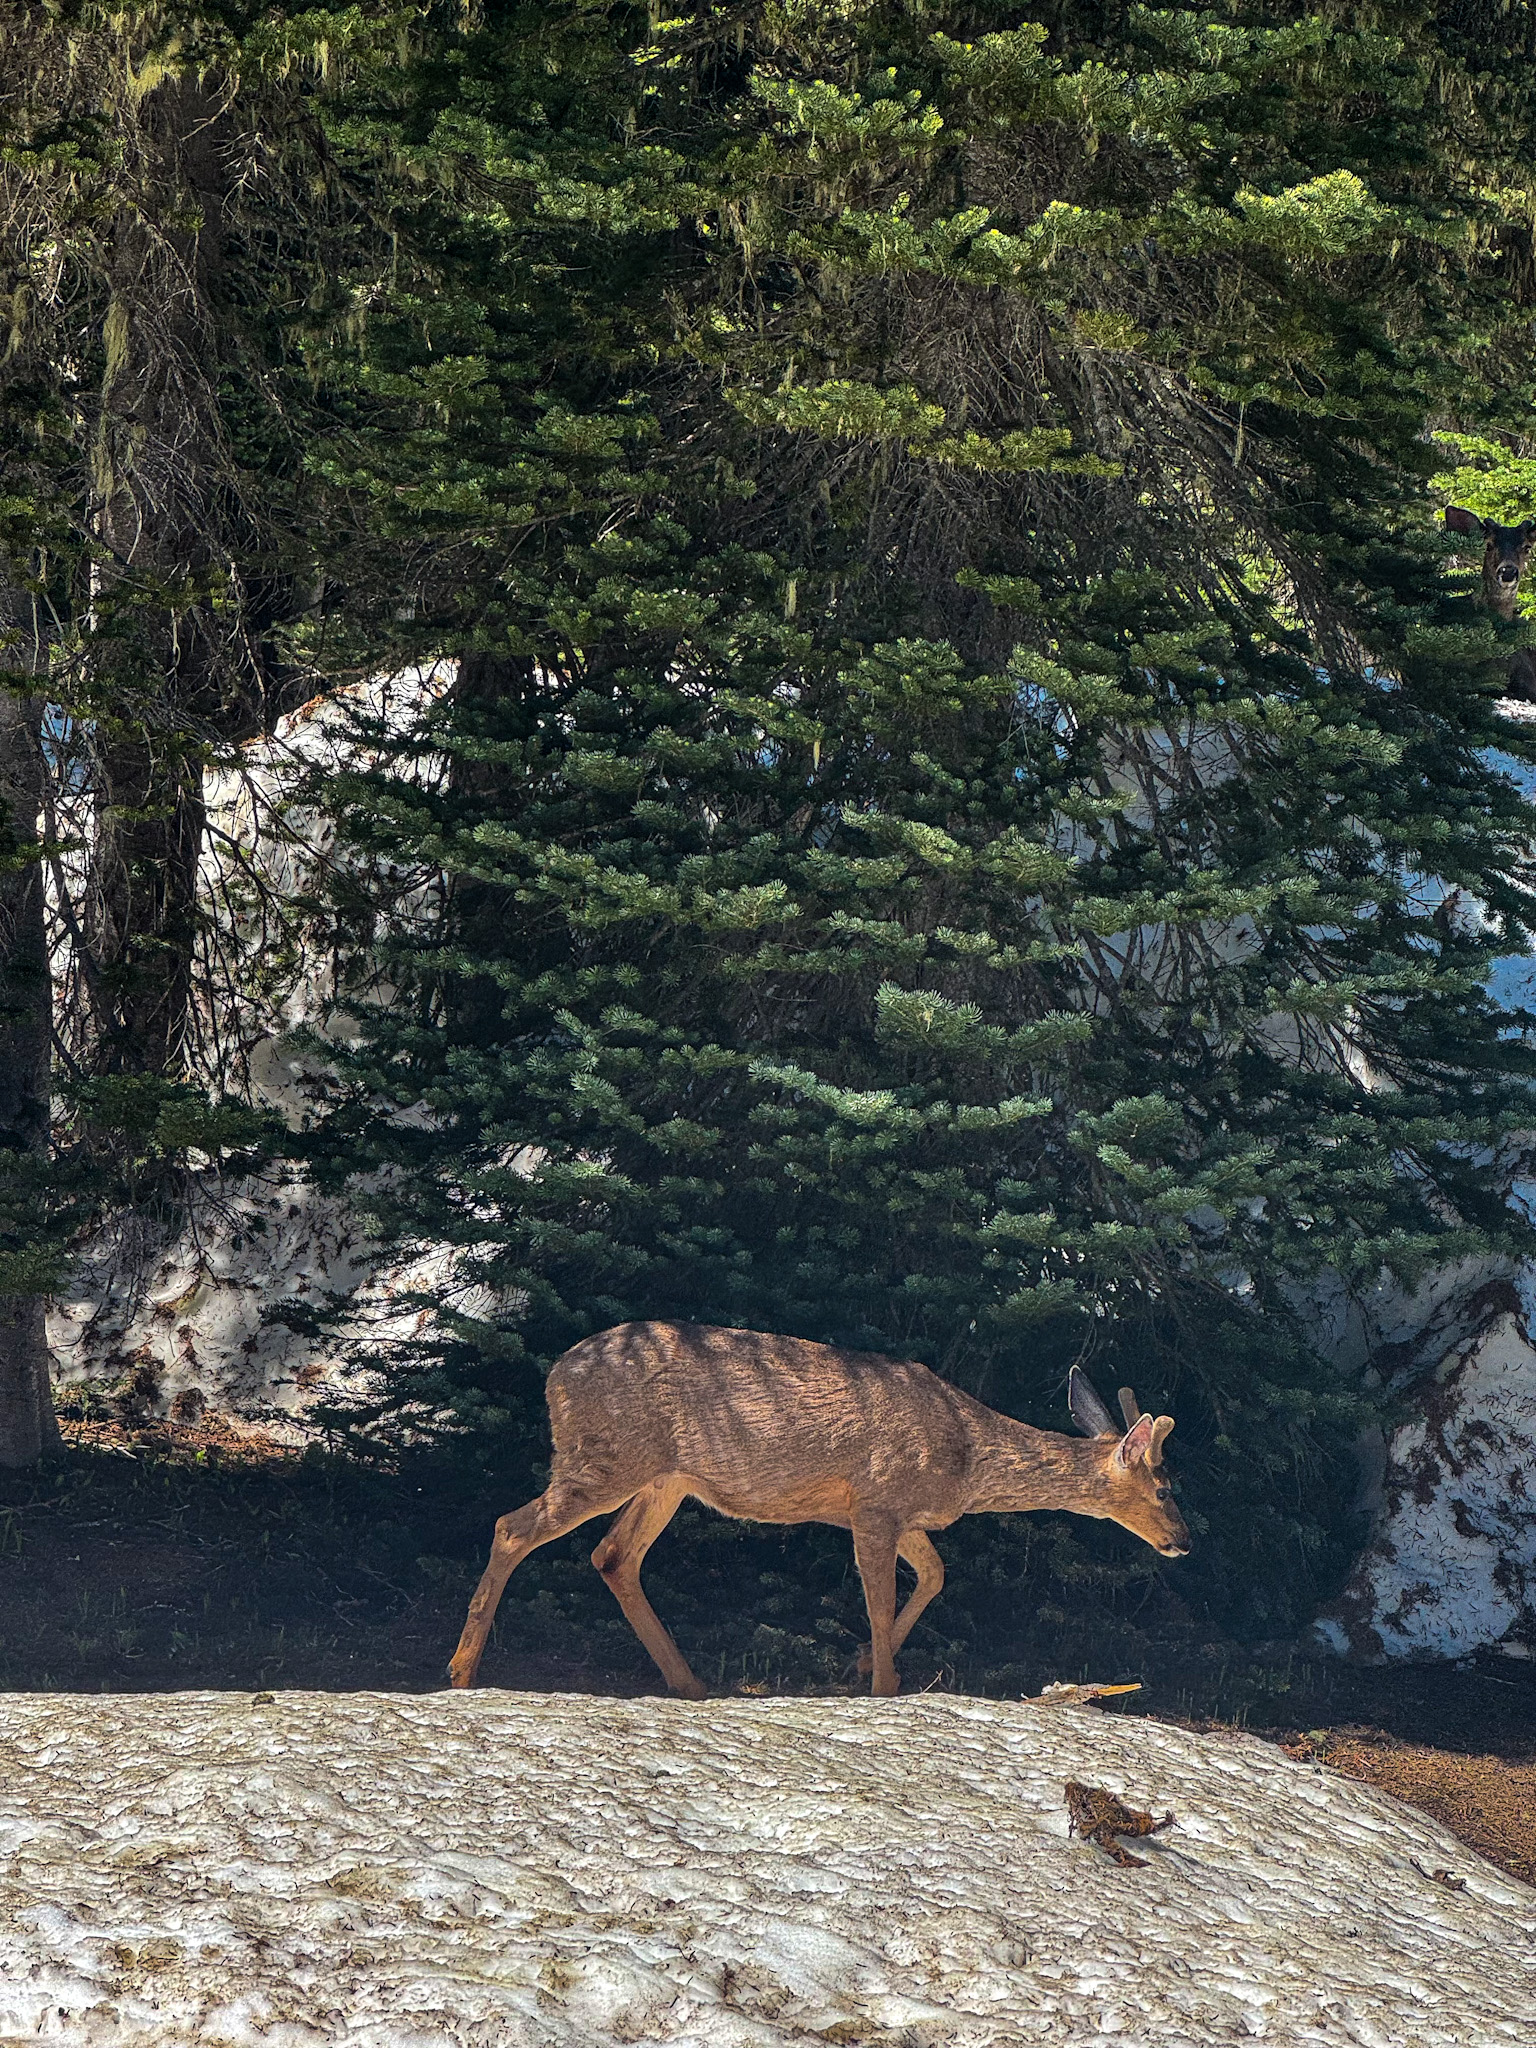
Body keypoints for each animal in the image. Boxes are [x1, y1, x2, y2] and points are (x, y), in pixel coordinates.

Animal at [447, 1321, 1189, 1698]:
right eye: (1164, 1488)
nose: (1183, 1540)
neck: (964, 1457)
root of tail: (554, 1375)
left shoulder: (899, 1515)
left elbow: (935, 1574)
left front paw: (861, 1666)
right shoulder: (877, 1499)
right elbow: (881, 1598)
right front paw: (882, 1684)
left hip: (666, 1477)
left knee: (613, 1555)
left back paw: (689, 1683)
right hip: (606, 1457)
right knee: (512, 1527)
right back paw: (461, 1671)